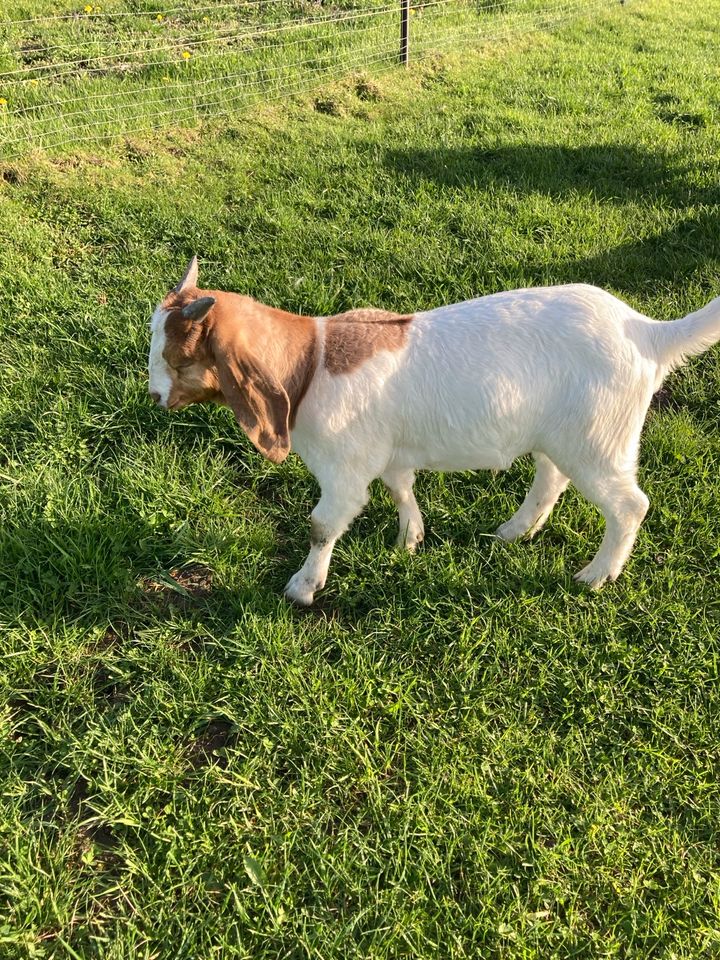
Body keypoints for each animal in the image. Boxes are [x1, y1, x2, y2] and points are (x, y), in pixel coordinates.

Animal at [148, 251, 720, 604]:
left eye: (179, 357)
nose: (153, 396)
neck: (311, 361)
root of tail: (648, 334)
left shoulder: (343, 470)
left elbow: (323, 525)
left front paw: (303, 586)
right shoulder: (387, 451)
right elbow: (401, 487)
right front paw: (410, 539)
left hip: (600, 437)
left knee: (629, 505)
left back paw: (596, 575)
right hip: (562, 433)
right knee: (551, 477)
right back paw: (515, 530)